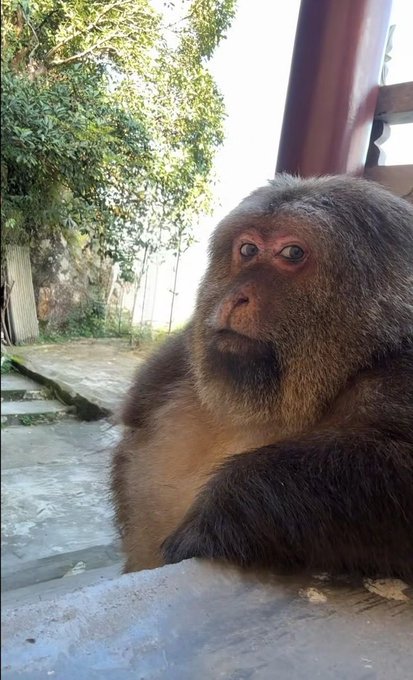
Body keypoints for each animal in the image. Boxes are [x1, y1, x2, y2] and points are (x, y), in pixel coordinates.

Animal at [112, 174, 413, 578]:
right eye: (248, 249)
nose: (235, 296)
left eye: (293, 254)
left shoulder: (397, 377)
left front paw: (223, 514)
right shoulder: (178, 358)